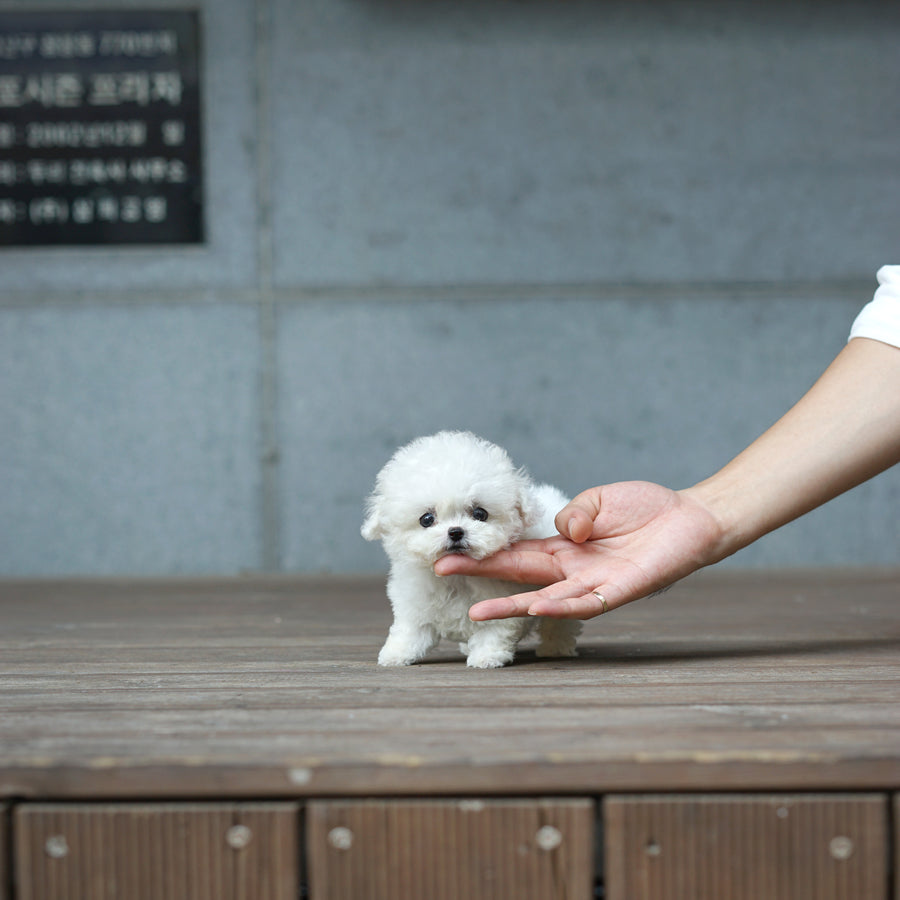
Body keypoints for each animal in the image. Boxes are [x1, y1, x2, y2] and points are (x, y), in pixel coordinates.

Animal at [360, 428, 580, 668]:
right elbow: (410, 631)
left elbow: (493, 631)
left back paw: (556, 648)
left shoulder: (500, 605)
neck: (457, 579)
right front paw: (396, 654)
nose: (456, 532)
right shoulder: (414, 604)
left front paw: (487, 657)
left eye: (480, 513)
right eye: (426, 519)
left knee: (559, 624)